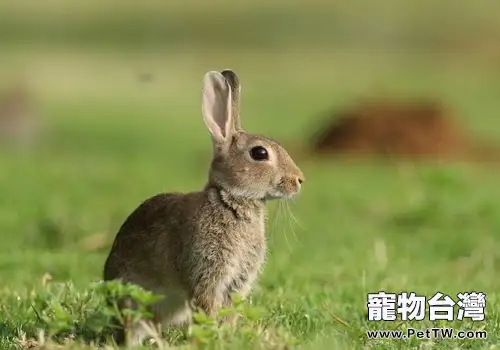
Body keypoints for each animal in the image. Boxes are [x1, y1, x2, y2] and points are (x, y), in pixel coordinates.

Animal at [102, 69, 304, 344]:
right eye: (260, 153)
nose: (299, 180)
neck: (230, 200)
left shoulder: (236, 283)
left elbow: (229, 313)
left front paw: (227, 336)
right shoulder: (206, 274)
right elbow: (207, 308)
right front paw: (213, 337)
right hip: (134, 300)